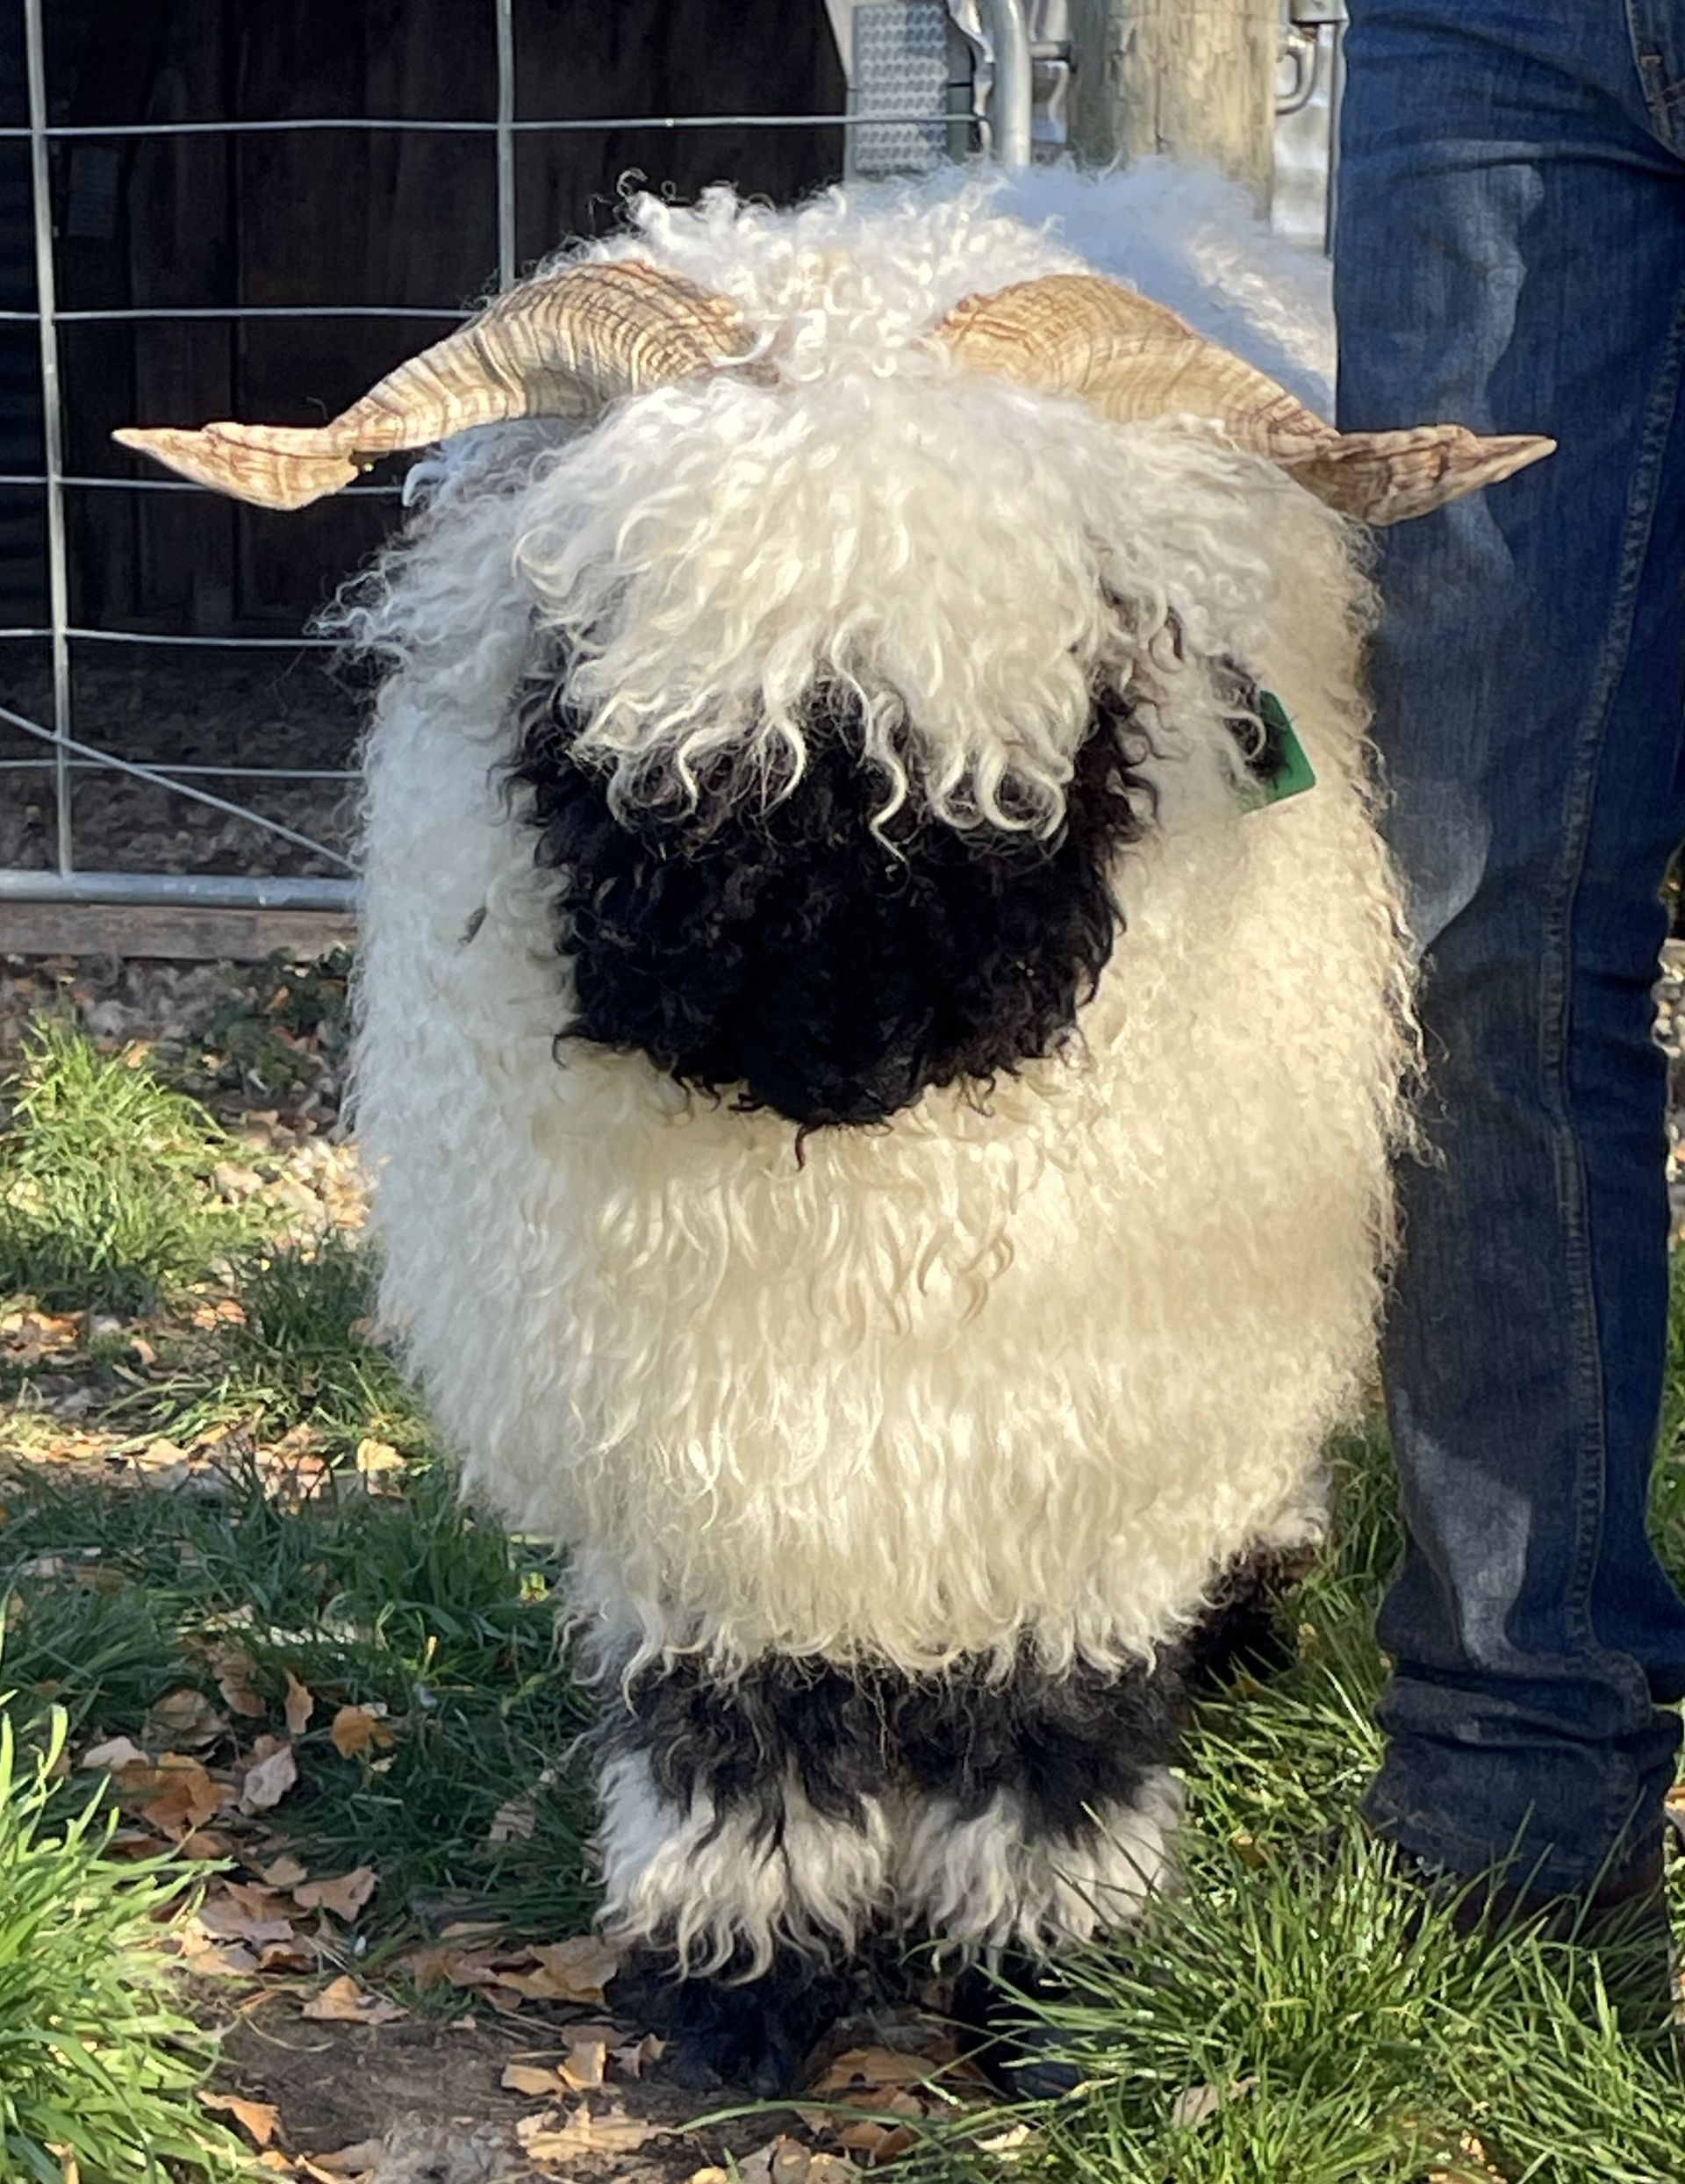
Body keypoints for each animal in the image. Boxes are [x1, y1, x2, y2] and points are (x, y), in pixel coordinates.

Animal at [111, 162, 1545, 2087]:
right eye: (614, 677)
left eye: (1048, 684)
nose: (832, 1030)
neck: (850, 1201)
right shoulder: (700, 1440)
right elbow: (746, 1716)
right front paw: (741, 1983)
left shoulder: (1088, 1412)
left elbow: (1054, 1703)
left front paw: (1043, 1982)